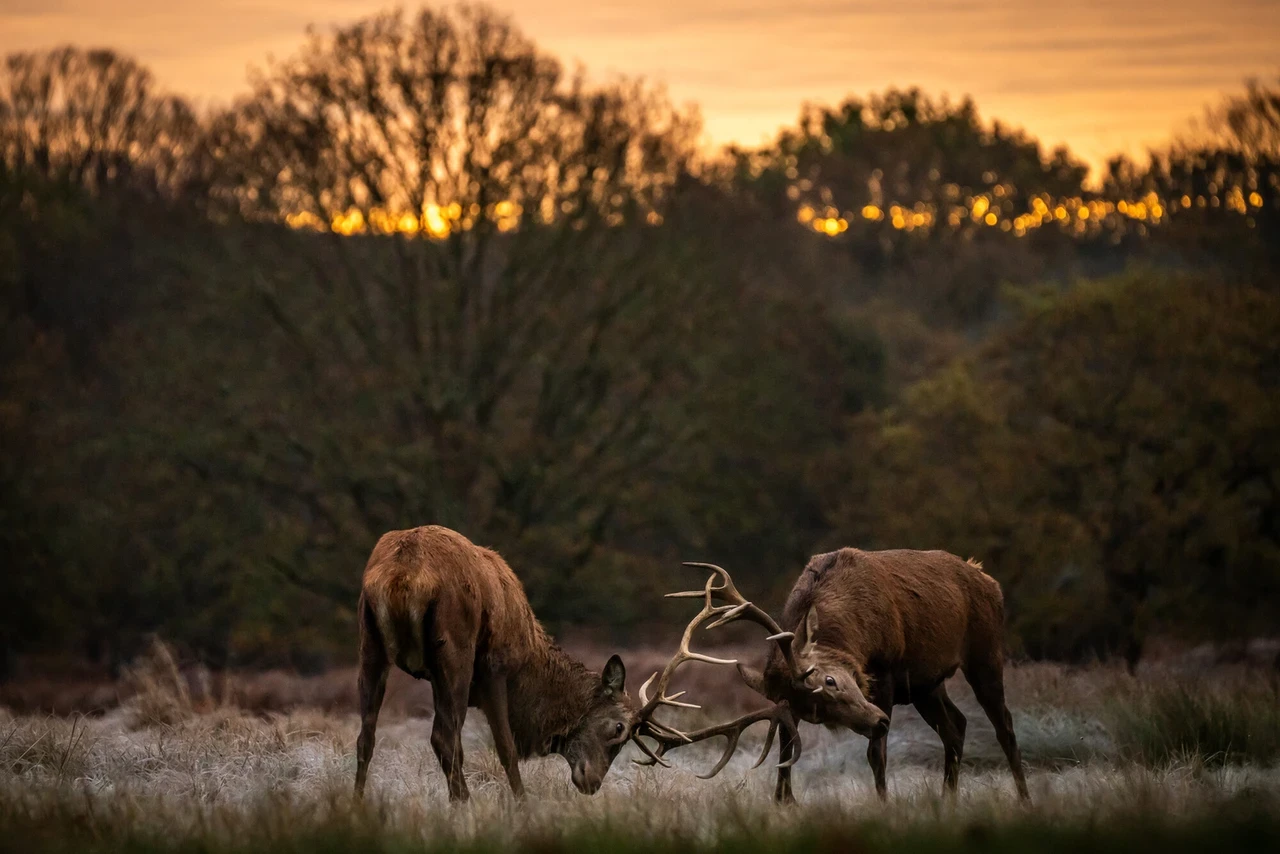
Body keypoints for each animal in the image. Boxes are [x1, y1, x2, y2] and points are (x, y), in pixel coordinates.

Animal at [354, 526, 637, 801]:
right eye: (619, 728)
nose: (592, 783)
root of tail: (403, 575)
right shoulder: (495, 669)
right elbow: (506, 747)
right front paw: (522, 804)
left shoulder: (437, 679)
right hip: (456, 649)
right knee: (444, 738)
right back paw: (464, 803)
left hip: (370, 642)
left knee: (366, 737)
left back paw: (357, 802)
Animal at [631, 550, 1030, 803]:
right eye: (816, 714)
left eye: (830, 680)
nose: (880, 721)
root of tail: (989, 581)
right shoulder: (787, 708)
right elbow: (786, 750)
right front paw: (783, 801)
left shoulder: (886, 672)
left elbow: (876, 754)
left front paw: (884, 804)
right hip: (926, 684)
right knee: (956, 726)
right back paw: (948, 801)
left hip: (985, 652)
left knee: (1005, 726)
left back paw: (1024, 799)